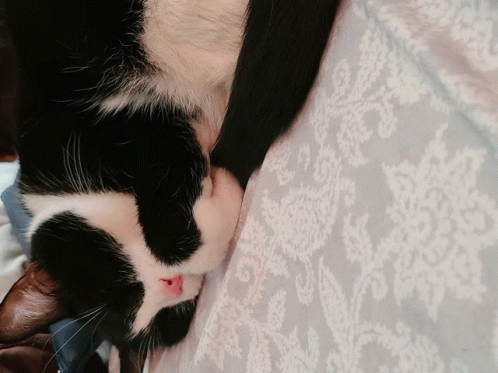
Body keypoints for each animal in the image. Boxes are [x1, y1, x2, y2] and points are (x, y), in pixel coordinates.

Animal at [0, 0, 338, 370]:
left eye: (123, 290)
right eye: (172, 315)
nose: (172, 283)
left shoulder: (121, 127)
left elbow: (171, 235)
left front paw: (222, 181)